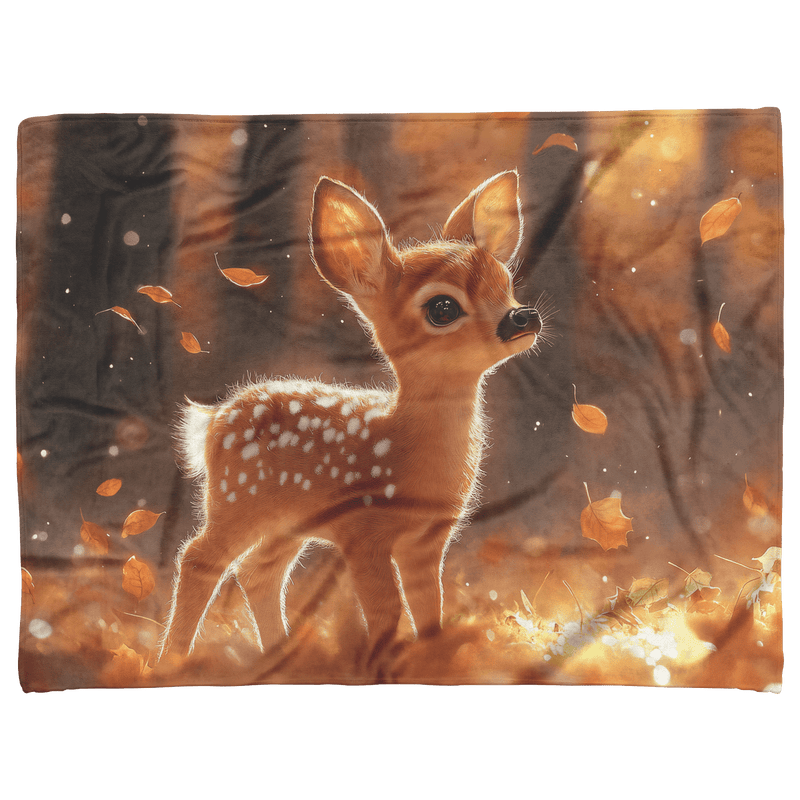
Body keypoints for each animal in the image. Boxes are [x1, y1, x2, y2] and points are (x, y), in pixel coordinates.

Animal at [158, 170, 545, 670]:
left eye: (506, 283)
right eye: (443, 308)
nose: (522, 316)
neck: (404, 449)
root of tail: (214, 418)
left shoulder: (427, 540)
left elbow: (430, 608)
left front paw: (432, 663)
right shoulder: (363, 530)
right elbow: (386, 608)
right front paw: (379, 666)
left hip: (286, 520)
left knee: (259, 571)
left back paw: (281, 660)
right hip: (236, 499)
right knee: (199, 558)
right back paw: (170, 663)